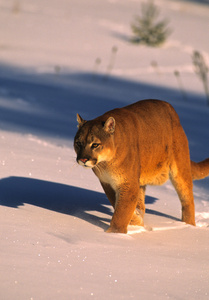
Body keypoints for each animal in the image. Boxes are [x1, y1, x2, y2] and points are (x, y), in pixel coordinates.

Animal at [74, 99, 209, 233]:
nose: (83, 159)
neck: (106, 163)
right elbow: (118, 204)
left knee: (187, 198)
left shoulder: (128, 184)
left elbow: (122, 211)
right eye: (79, 143)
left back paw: (188, 226)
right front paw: (136, 221)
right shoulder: (107, 182)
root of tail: (171, 108)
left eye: (95, 144)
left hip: (179, 168)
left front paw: (115, 233)